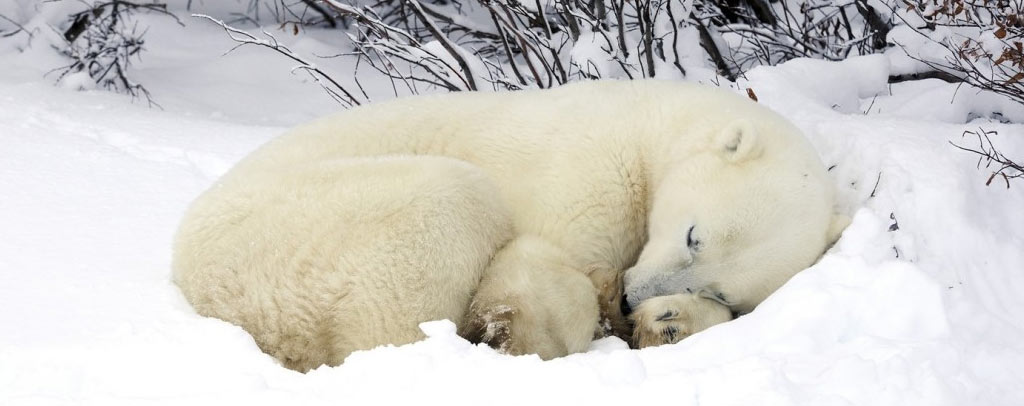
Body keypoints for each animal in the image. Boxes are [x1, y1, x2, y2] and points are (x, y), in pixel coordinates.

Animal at [172, 79, 847, 371]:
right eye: (692, 235)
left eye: (720, 288)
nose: (634, 299)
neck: (651, 125)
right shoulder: (588, 166)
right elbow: (541, 261)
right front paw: (526, 332)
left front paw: (669, 323)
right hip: (294, 234)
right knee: (447, 206)